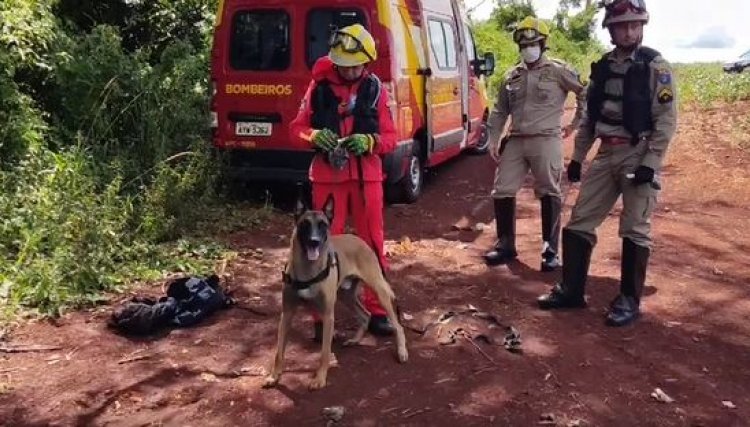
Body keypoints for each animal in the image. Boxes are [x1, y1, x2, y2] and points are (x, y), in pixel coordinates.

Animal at [262, 196, 408, 390]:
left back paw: (402, 351)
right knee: (366, 315)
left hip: (379, 291)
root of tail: (359, 239)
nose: (314, 241)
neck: (308, 270)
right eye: (305, 224)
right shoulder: (287, 313)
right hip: (346, 296)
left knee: (397, 325)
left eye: (323, 225)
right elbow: (279, 352)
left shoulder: (327, 315)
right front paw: (274, 376)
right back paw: (355, 340)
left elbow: (324, 353)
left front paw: (320, 378)